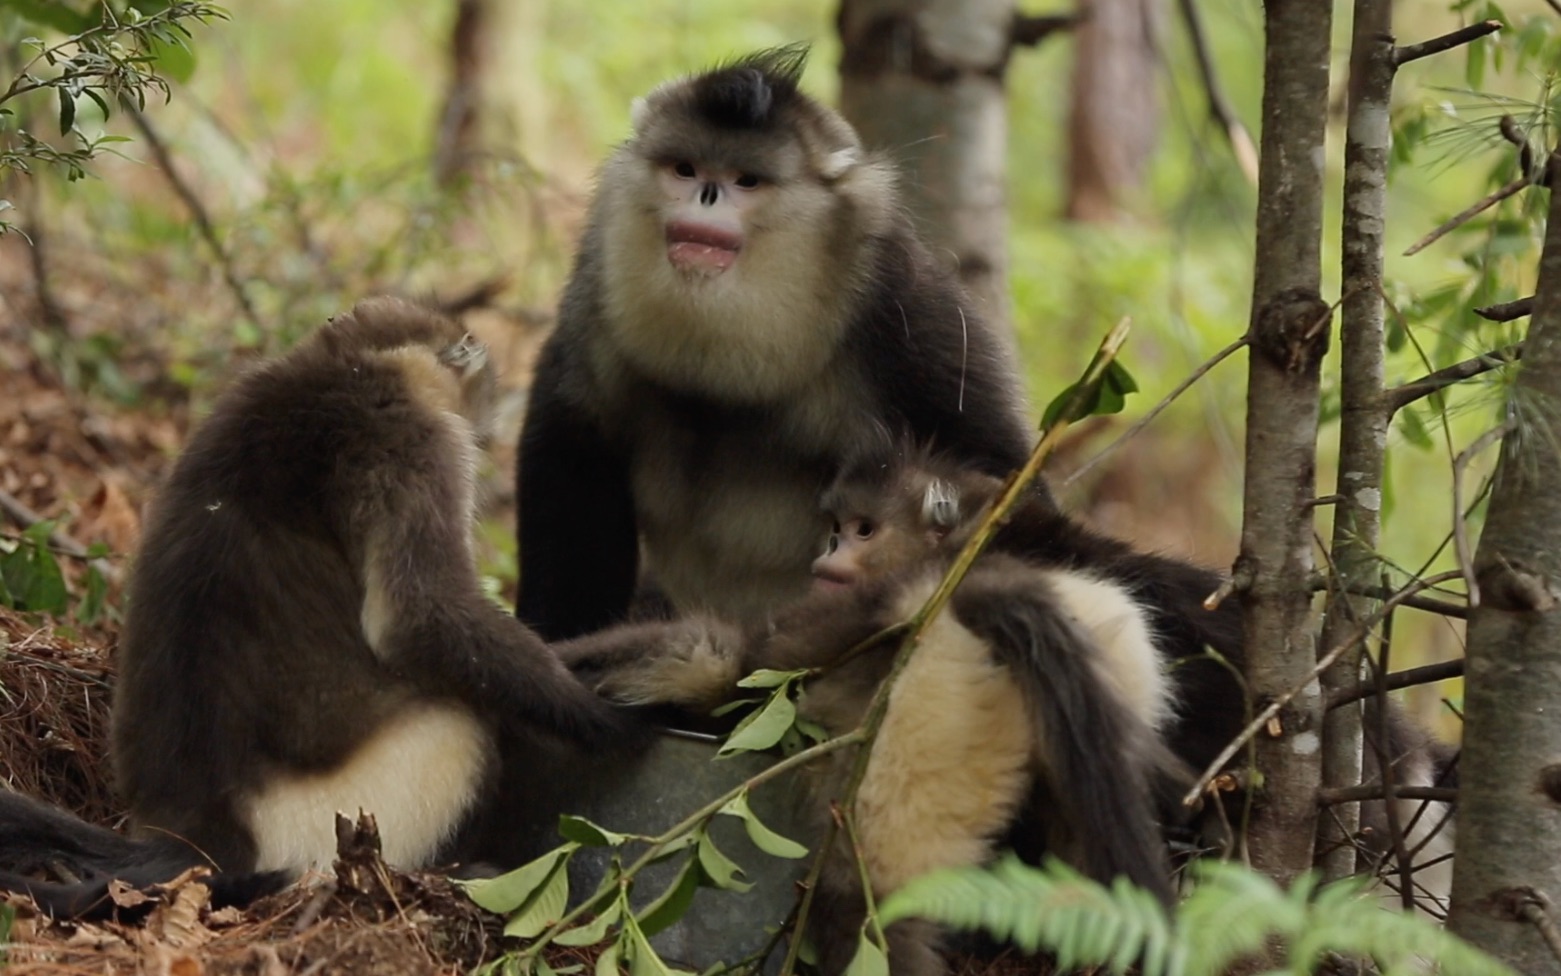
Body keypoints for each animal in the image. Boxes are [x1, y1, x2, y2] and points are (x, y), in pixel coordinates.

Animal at [518, 43, 1042, 640]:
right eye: (685, 169)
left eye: (746, 180)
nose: (707, 195)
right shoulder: (593, 307)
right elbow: (570, 459)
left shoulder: (909, 313)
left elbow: (1005, 475)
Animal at [555, 449, 1173, 974]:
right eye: (838, 529)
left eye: (862, 530)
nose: (828, 551)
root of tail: (960, 604)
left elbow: (716, 654)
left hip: (914, 735)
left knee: (857, 903)